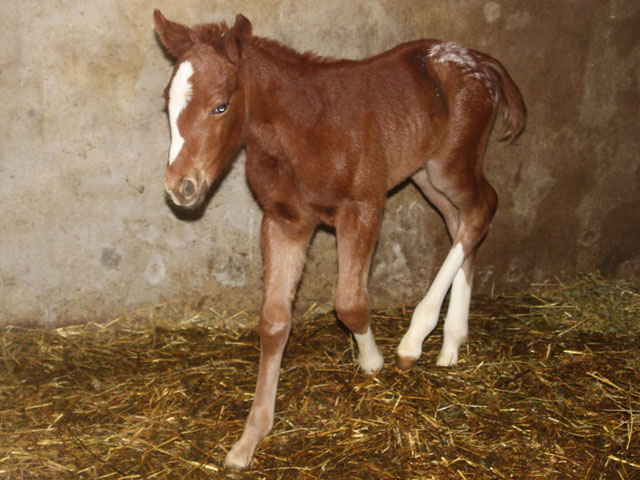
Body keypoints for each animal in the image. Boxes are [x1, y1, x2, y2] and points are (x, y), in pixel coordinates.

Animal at [155, 10, 524, 468]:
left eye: (220, 105)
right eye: (167, 103)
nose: (181, 187)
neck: (301, 129)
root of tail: (480, 59)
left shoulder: (363, 207)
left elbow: (349, 303)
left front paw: (373, 361)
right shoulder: (285, 219)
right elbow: (274, 321)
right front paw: (249, 439)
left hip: (451, 163)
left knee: (481, 210)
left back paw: (415, 339)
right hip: (424, 173)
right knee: (461, 223)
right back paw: (452, 342)